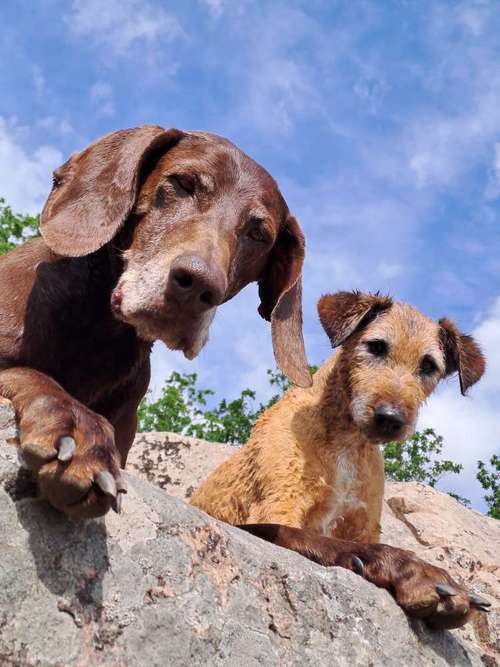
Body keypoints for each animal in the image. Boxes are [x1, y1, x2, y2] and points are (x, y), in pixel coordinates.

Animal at [0, 125, 308, 520]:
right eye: (183, 183)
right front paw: (81, 431)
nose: (198, 286)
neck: (99, 332)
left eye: (259, 235)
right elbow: (30, 374)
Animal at [191, 292, 492, 632]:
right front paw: (414, 571)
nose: (390, 419)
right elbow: (311, 539)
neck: (346, 443)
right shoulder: (278, 506)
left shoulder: (363, 524)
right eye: (376, 346)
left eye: (428, 365)